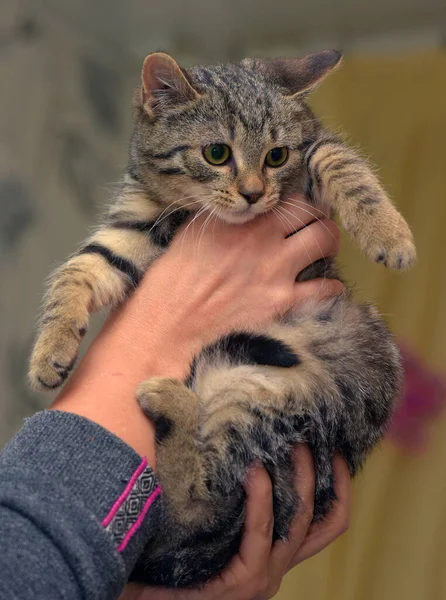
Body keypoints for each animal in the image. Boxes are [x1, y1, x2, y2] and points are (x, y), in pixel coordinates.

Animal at [29, 50, 416, 584]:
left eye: (277, 156)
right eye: (216, 153)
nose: (253, 193)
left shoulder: (314, 157)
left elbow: (340, 160)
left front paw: (389, 233)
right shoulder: (131, 225)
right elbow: (79, 269)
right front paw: (50, 352)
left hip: (263, 384)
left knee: (207, 495)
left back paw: (172, 403)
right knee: (197, 503)